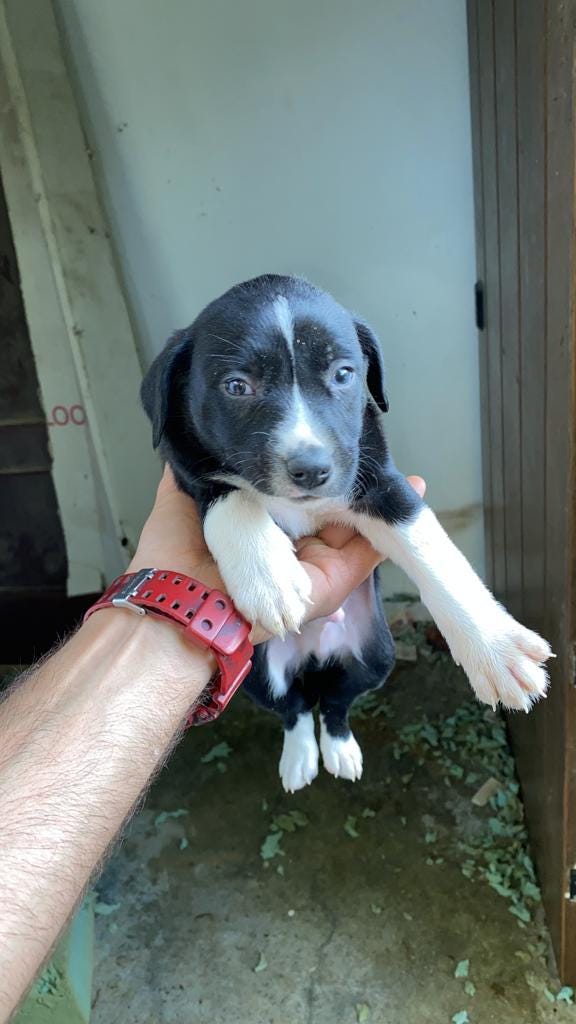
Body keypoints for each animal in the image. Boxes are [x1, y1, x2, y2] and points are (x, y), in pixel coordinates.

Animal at [141, 272, 549, 790]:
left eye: (342, 374)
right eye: (236, 386)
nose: (312, 470)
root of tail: (315, 656)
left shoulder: (379, 480)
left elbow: (434, 553)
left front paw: (496, 649)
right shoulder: (187, 468)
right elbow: (230, 497)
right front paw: (269, 577)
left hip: (376, 653)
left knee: (335, 703)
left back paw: (340, 751)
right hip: (254, 672)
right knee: (294, 707)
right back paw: (299, 759)